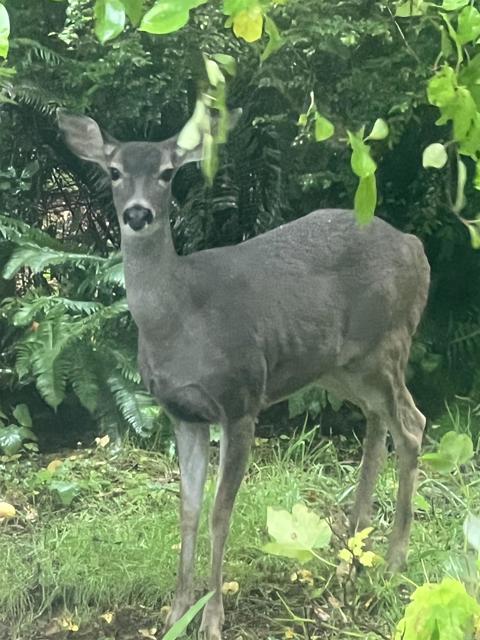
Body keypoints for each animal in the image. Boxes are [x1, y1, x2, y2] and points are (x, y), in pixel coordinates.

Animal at [58, 110, 430, 640]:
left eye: (168, 173)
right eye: (114, 172)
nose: (137, 214)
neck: (178, 321)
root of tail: (416, 246)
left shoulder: (240, 400)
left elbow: (220, 513)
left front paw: (212, 618)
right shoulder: (182, 412)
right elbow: (188, 510)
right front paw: (176, 612)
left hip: (388, 343)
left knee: (412, 425)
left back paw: (395, 560)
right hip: (338, 365)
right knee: (379, 424)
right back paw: (353, 547)